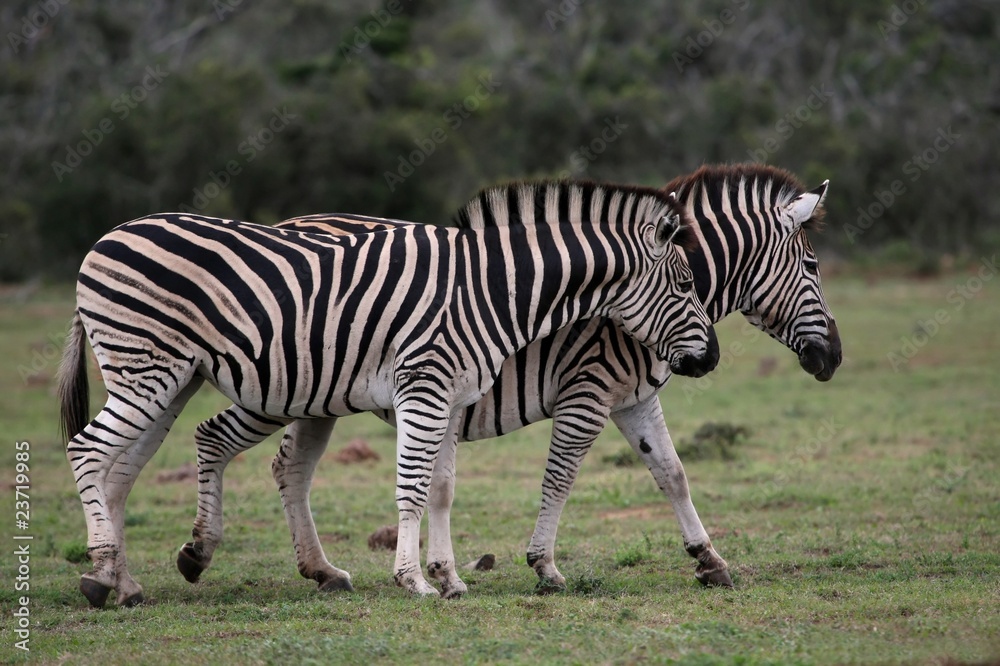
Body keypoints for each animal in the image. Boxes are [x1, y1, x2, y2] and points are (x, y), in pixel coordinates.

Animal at [58, 180, 719, 607]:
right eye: (686, 284)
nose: (711, 358)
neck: (492, 290)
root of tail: (106, 238)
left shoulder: (453, 394)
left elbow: (441, 486)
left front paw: (447, 577)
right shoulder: (426, 386)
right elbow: (413, 486)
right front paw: (415, 580)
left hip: (169, 378)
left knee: (124, 468)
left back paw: (125, 582)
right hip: (153, 369)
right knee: (89, 450)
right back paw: (103, 570)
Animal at [176, 163, 841, 597]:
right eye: (811, 266)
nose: (833, 359)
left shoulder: (634, 398)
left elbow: (672, 474)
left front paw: (709, 560)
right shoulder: (587, 392)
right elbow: (560, 478)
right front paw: (543, 566)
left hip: (317, 398)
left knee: (288, 465)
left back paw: (320, 571)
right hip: (275, 384)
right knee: (215, 437)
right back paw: (199, 553)